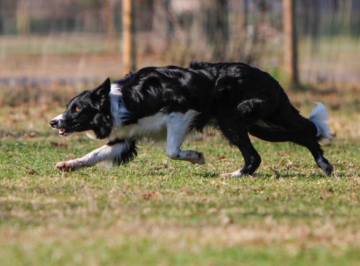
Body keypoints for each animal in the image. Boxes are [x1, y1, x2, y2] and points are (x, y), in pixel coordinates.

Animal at [49, 62, 334, 177]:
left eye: (77, 108)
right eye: (68, 107)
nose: (53, 122)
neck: (123, 101)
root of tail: (271, 80)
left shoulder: (180, 114)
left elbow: (172, 151)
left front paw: (196, 157)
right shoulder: (125, 139)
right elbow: (93, 155)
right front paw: (68, 164)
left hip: (234, 120)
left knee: (256, 155)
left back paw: (234, 175)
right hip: (262, 125)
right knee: (305, 133)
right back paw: (325, 165)